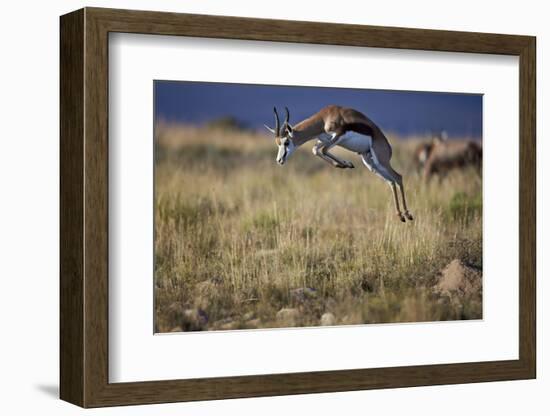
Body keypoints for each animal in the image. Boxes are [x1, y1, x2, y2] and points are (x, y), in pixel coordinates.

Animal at [266, 105, 414, 221]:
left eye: (286, 142)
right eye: (277, 143)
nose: (279, 160)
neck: (324, 117)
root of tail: (388, 147)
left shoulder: (338, 136)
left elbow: (323, 150)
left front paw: (345, 164)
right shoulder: (324, 139)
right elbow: (316, 150)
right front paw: (345, 164)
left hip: (381, 161)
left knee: (398, 177)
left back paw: (407, 215)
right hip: (371, 164)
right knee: (391, 182)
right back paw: (400, 215)